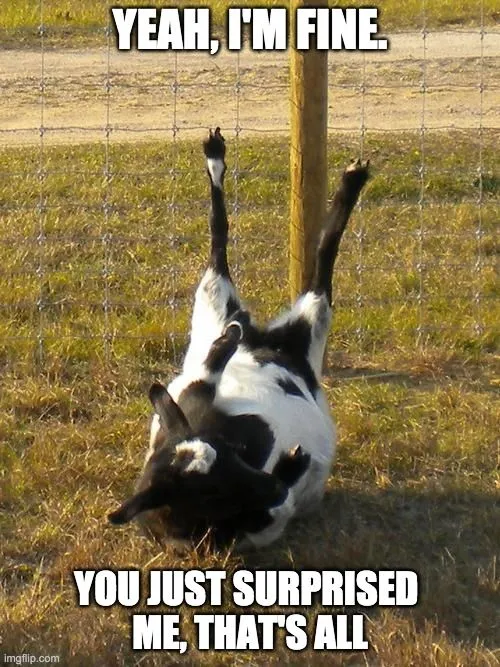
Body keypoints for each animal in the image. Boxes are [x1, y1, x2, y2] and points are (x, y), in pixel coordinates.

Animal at [108, 128, 369, 550]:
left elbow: (210, 367)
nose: (271, 486)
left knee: (220, 241)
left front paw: (228, 342)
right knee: (320, 264)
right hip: (305, 315)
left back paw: (216, 155)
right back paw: (351, 180)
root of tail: (271, 338)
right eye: (213, 493)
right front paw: (293, 465)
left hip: (213, 299)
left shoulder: (189, 399)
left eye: (231, 455)